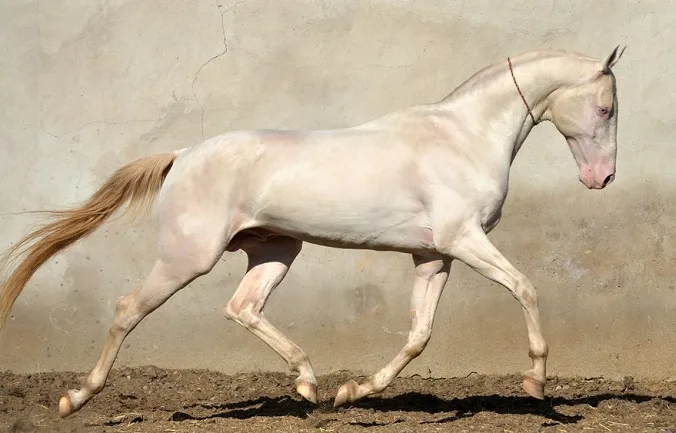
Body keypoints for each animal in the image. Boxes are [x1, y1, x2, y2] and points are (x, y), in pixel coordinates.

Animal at [0, 44, 624, 416]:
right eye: (606, 109)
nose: (602, 178)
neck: (461, 137)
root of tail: (182, 155)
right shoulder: (464, 241)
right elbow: (525, 287)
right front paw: (536, 382)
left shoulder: (434, 256)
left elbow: (419, 333)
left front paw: (356, 391)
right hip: (187, 257)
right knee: (130, 308)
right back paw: (76, 398)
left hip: (277, 249)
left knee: (243, 307)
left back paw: (309, 383)